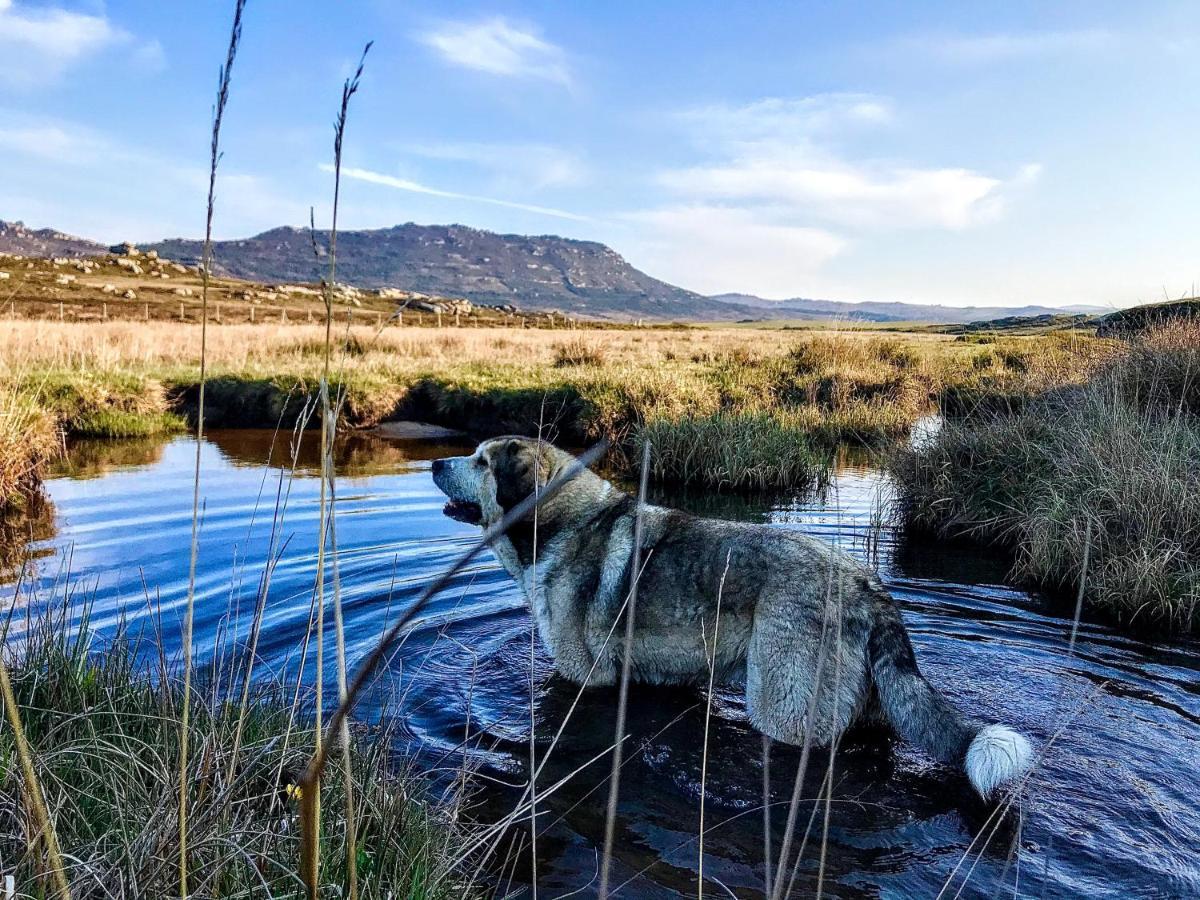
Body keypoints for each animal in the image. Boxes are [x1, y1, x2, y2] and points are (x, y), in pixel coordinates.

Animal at [432, 436, 1032, 796]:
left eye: (481, 461)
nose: (436, 462)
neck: (557, 520)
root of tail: (867, 587)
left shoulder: (586, 679)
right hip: (865, 711)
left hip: (785, 709)